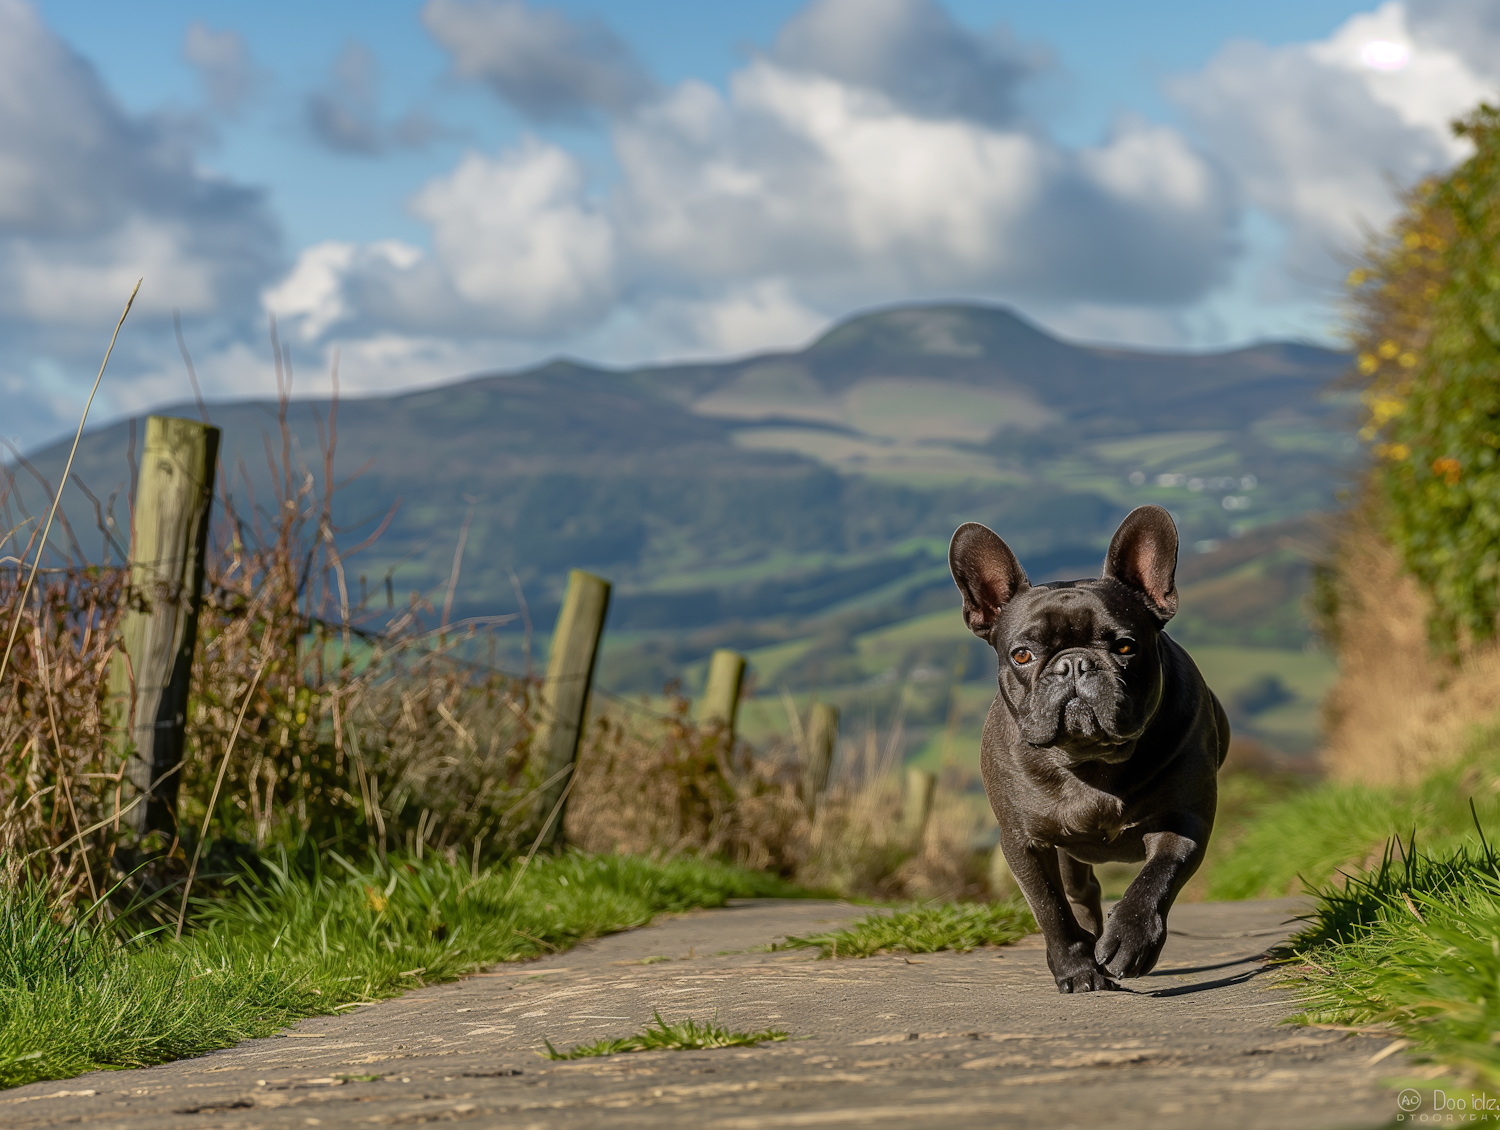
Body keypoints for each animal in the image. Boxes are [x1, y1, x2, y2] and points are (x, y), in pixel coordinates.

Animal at [948, 501, 1230, 984]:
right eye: (1022, 654)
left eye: (1125, 647)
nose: (1075, 664)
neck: (1090, 760)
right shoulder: (1023, 842)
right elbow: (1049, 906)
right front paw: (1075, 966)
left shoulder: (1184, 822)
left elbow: (1156, 878)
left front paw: (1130, 940)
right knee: (1080, 894)